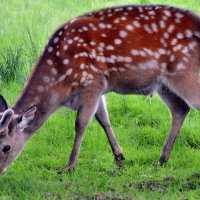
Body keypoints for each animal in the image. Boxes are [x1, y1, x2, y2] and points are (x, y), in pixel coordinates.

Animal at [0, 4, 200, 176]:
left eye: (6, 147)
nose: (1, 172)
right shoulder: (98, 89)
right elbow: (103, 119)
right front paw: (120, 159)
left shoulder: (92, 82)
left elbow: (80, 123)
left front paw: (69, 166)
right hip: (163, 85)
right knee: (180, 109)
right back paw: (161, 160)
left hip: (184, 71)